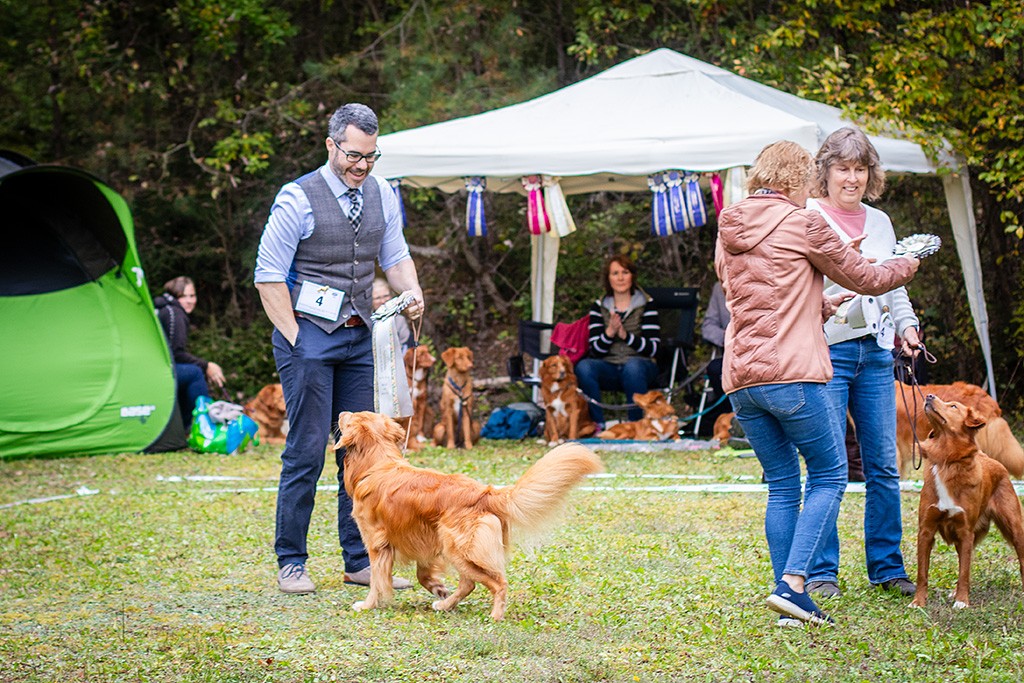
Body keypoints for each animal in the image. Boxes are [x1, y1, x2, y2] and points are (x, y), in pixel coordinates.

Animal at [331, 409, 602, 622]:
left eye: (350, 417)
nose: (341, 411)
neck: (378, 464)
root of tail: (486, 493)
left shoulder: (377, 544)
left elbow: (377, 579)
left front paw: (368, 604)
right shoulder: (423, 539)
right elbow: (422, 574)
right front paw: (438, 589)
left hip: (459, 550)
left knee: (496, 582)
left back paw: (495, 615)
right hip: (453, 546)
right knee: (468, 583)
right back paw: (445, 604)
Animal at [909, 395, 1024, 610]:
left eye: (953, 406)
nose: (929, 396)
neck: (946, 460)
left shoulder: (965, 531)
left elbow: (964, 572)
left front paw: (962, 601)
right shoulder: (926, 530)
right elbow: (922, 573)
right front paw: (918, 602)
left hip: (1014, 526)